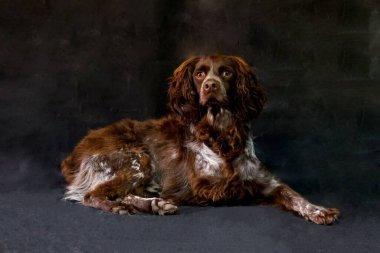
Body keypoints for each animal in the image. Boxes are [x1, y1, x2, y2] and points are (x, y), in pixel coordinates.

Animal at [60, 54, 340, 223]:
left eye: (226, 73)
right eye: (199, 74)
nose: (210, 86)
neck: (222, 135)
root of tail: (74, 155)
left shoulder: (266, 181)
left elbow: (291, 193)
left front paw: (318, 209)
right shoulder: (204, 187)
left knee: (121, 193)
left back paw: (155, 205)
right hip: (135, 159)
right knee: (93, 195)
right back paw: (128, 206)